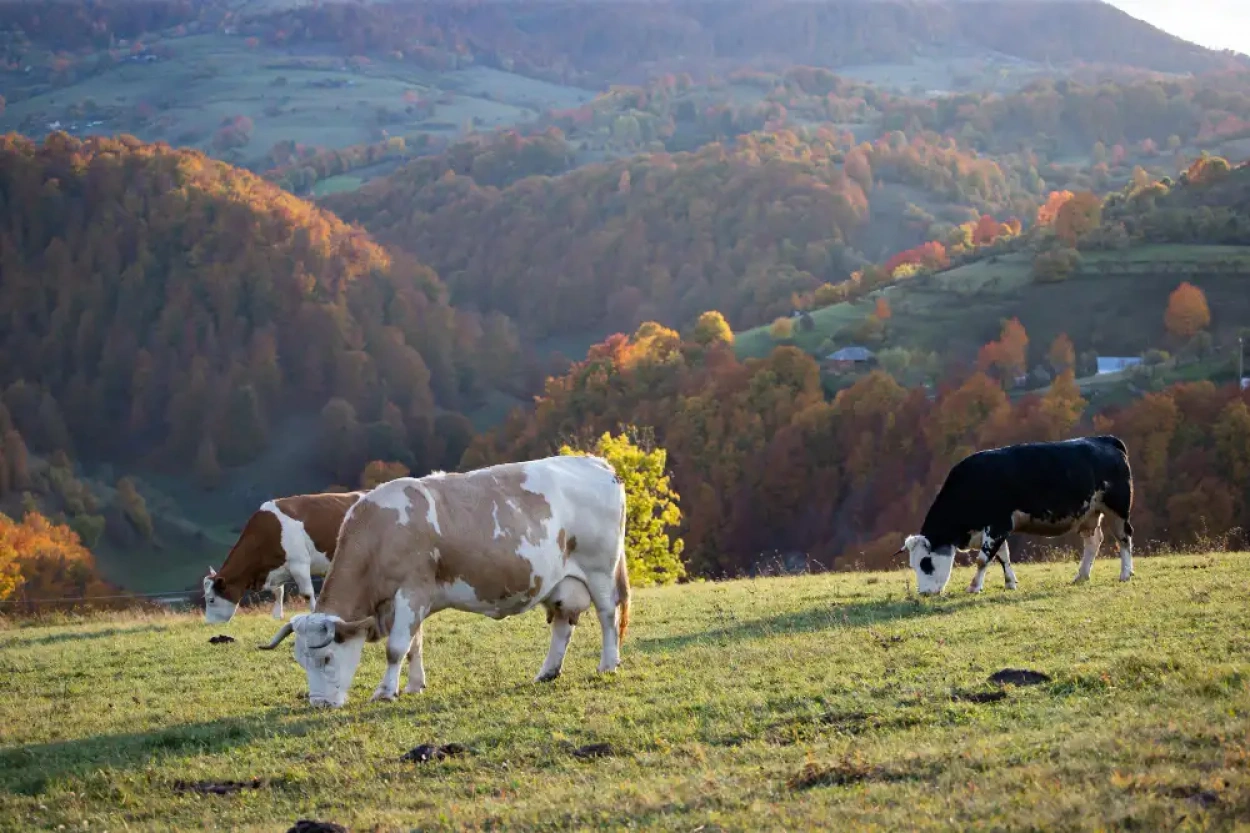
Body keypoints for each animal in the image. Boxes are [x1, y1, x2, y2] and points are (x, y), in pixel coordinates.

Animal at [202, 490, 365, 620]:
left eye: (211, 600)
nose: (209, 623)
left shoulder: (299, 564)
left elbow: (307, 593)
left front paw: (315, 614)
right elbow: (278, 591)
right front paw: (277, 615)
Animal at [265, 450, 635, 705]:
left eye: (326, 658)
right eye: (301, 661)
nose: (319, 704)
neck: (379, 533)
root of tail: (597, 464)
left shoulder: (411, 591)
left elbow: (396, 648)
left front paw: (385, 691)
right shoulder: (409, 601)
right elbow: (414, 645)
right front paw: (414, 685)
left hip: (600, 570)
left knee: (608, 615)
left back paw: (608, 664)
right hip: (561, 583)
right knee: (562, 624)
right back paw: (546, 673)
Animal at [900, 435, 1135, 590]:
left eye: (926, 563)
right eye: (913, 564)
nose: (923, 593)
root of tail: (1105, 439)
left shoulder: (997, 525)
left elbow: (983, 559)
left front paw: (974, 586)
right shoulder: (996, 529)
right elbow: (1003, 557)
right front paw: (1010, 583)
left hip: (1117, 508)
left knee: (1124, 538)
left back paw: (1125, 573)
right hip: (1090, 513)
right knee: (1093, 541)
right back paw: (1082, 576)